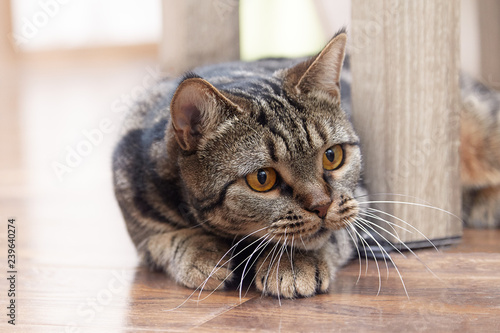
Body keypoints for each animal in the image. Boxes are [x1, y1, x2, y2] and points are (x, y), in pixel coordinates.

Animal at [113, 29, 500, 298]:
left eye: (332, 156)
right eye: (263, 178)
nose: (322, 205)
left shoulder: (361, 201)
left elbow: (328, 236)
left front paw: (292, 262)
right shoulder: (136, 216)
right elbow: (165, 237)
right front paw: (202, 251)